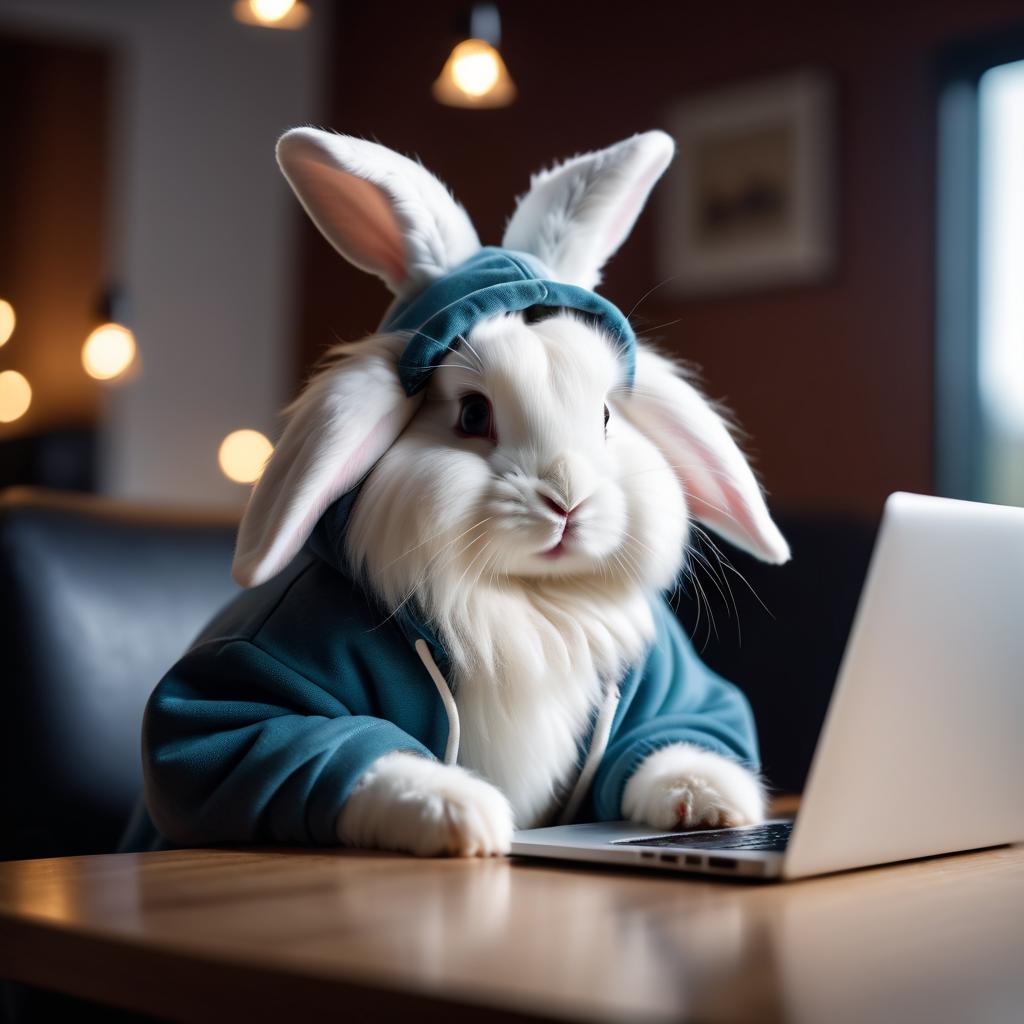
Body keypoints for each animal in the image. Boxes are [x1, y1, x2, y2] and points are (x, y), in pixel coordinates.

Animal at [140, 132, 786, 860]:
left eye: (605, 417)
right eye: (474, 415)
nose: (568, 501)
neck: (524, 601)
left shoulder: (674, 688)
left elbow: (681, 730)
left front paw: (708, 801)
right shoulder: (243, 689)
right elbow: (318, 747)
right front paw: (458, 814)